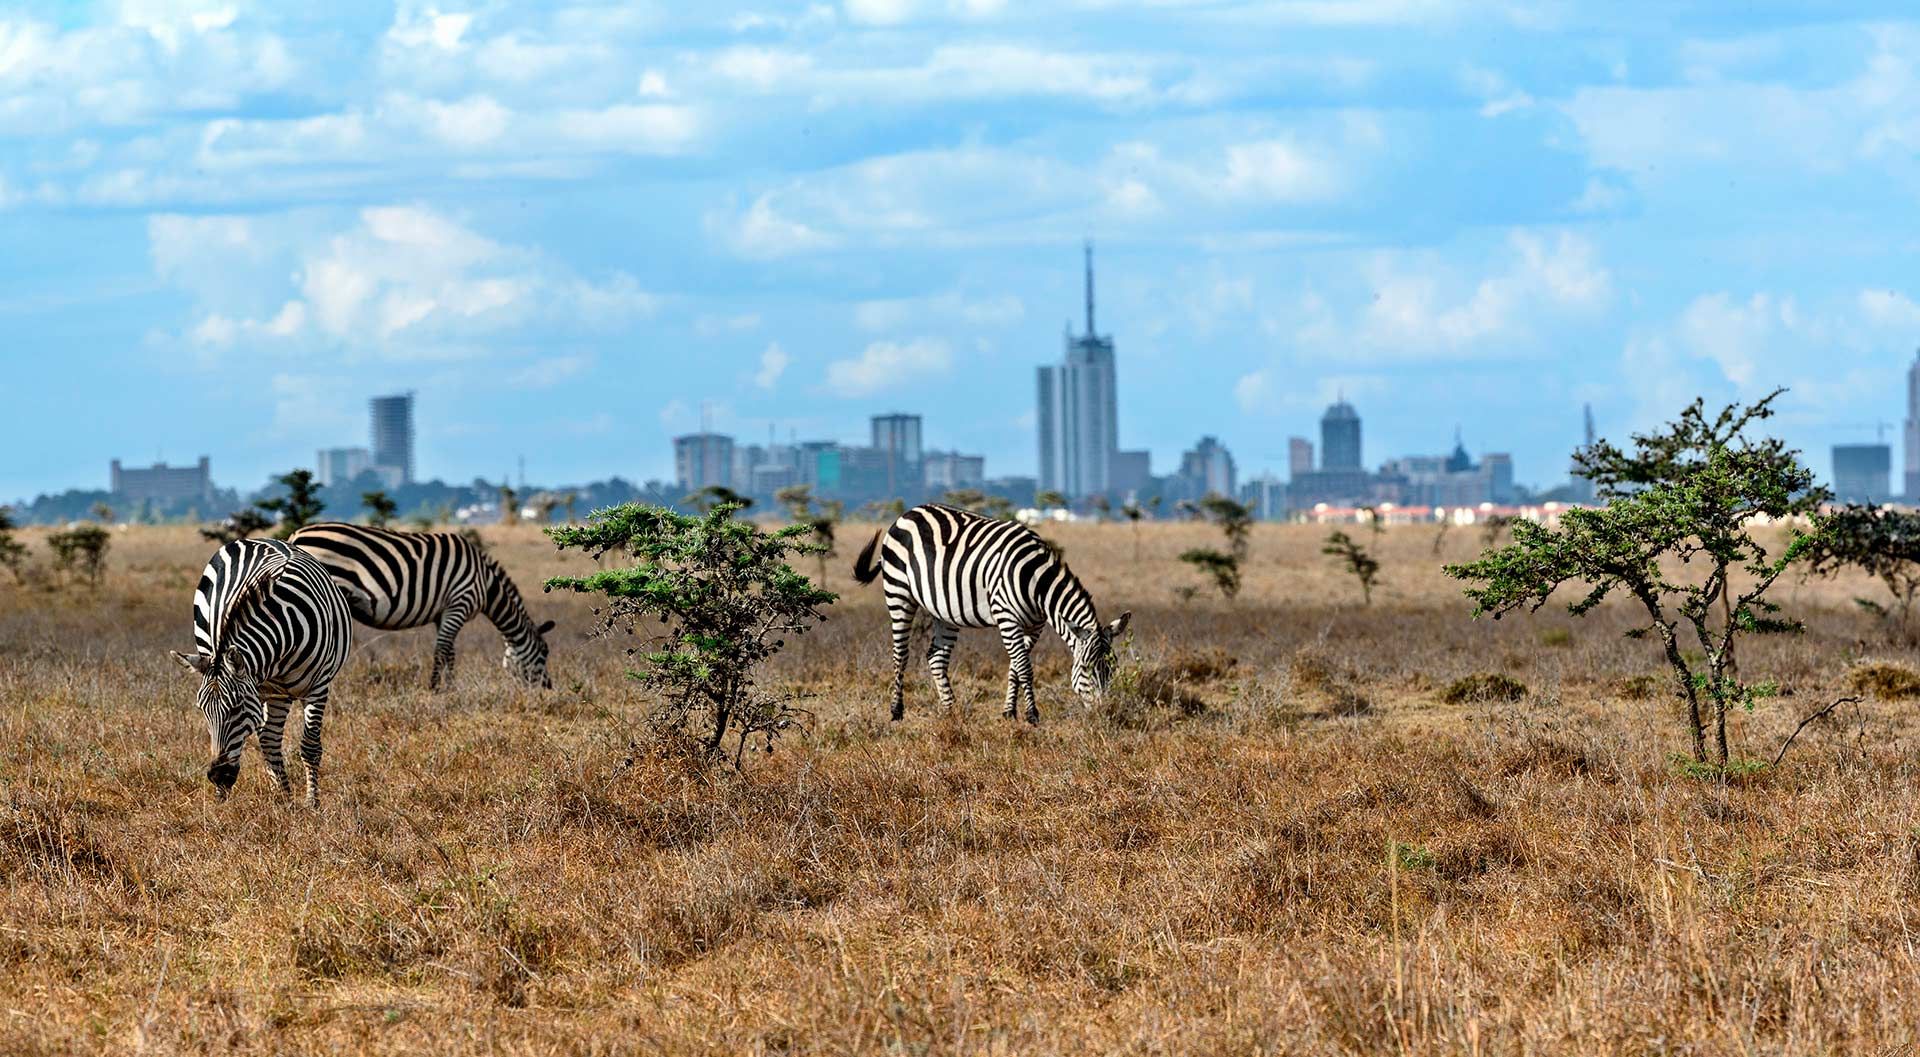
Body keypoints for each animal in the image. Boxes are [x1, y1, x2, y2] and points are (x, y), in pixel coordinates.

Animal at [168, 540, 353, 805]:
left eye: (236, 707)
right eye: (202, 710)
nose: (218, 776)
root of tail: (255, 540)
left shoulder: (318, 686)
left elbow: (310, 747)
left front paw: (312, 803)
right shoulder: (262, 688)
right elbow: (267, 740)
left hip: (281, 693)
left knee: (272, 738)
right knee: (270, 739)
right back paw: (282, 795)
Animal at [286, 525, 556, 690]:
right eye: (544, 653)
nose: (548, 687)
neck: (486, 582)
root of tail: (296, 535)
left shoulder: (443, 613)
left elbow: (450, 652)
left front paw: (450, 687)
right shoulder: (459, 602)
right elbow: (441, 650)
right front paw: (435, 688)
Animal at [852, 502, 1121, 721]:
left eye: (1113, 669)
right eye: (1085, 669)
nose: (1104, 712)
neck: (1037, 583)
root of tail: (906, 514)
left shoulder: (1035, 625)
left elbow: (1015, 667)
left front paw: (1009, 712)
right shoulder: (1007, 617)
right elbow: (1024, 667)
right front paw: (1032, 715)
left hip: (944, 611)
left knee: (936, 656)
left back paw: (952, 711)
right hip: (899, 592)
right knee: (901, 654)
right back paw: (896, 711)